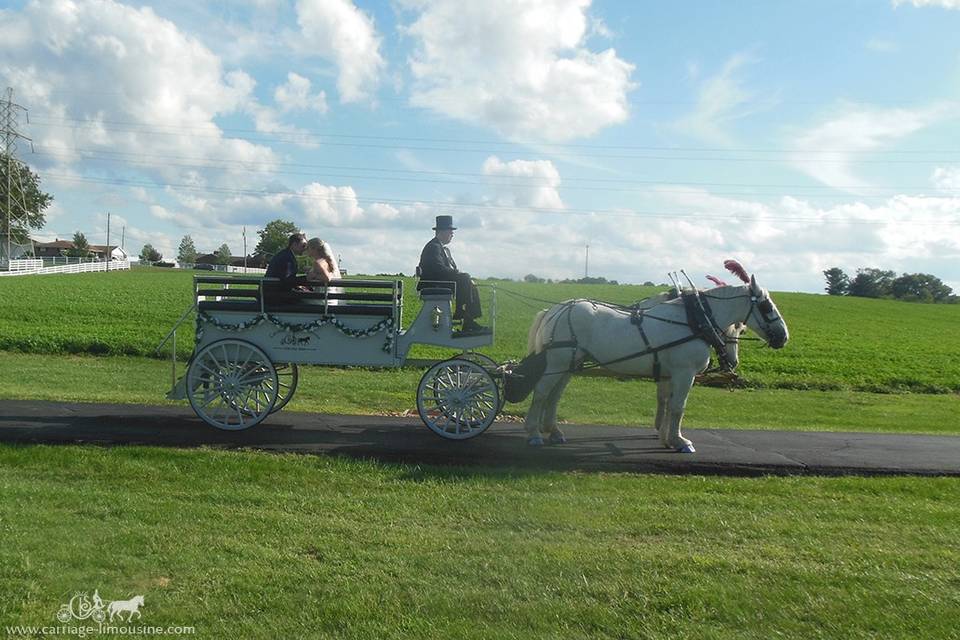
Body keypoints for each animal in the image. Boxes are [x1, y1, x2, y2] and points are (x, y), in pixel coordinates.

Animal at [524, 272, 788, 452]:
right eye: (766, 305)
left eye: (741, 330)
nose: (783, 336)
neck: (694, 321)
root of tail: (554, 310)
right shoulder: (684, 373)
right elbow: (678, 406)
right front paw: (680, 441)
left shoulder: (670, 375)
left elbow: (668, 404)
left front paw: (666, 438)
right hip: (558, 363)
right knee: (542, 392)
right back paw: (533, 433)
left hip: (569, 363)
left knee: (554, 395)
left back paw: (554, 431)